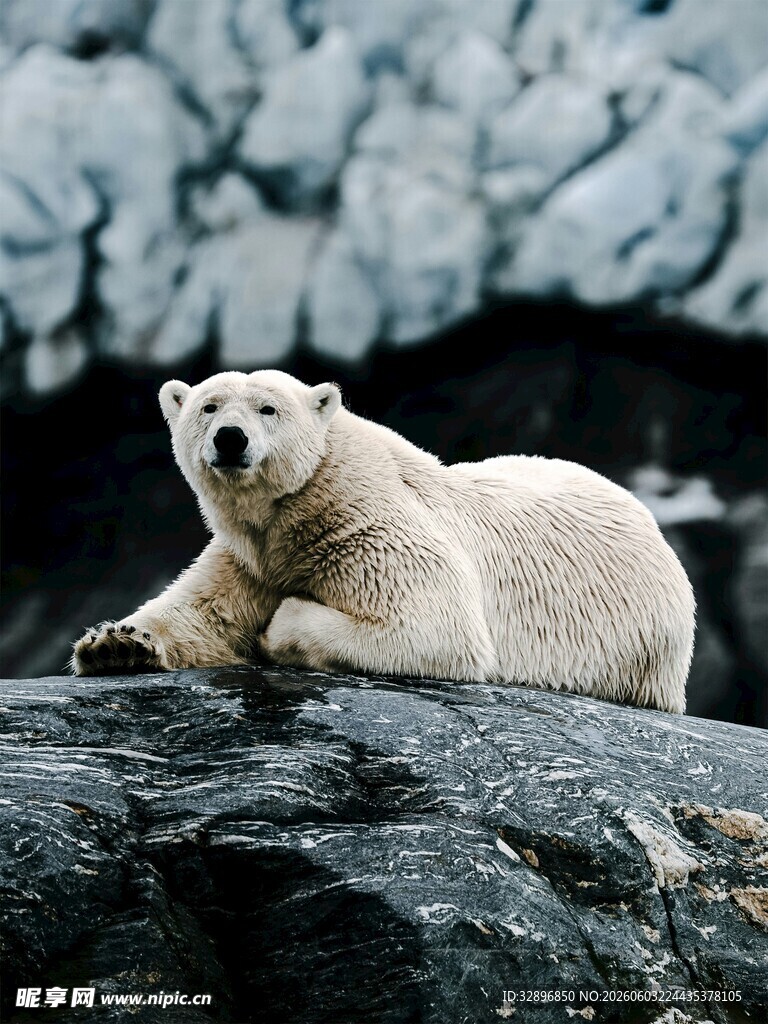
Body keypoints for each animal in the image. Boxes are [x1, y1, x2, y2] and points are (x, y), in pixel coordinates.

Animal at [72, 369, 695, 713]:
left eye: (267, 408)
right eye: (208, 406)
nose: (230, 438)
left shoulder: (371, 528)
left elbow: (435, 627)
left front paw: (278, 626)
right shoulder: (249, 556)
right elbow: (201, 613)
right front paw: (115, 645)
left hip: (637, 647)